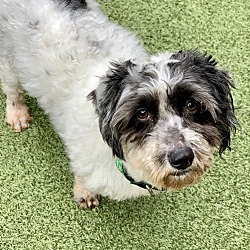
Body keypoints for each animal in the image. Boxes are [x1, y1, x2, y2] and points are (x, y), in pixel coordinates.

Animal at [0, 0, 238, 209]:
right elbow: (82, 175)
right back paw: (17, 114)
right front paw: (85, 192)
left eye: (191, 105)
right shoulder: (82, 157)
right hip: (8, 60)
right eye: (142, 113)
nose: (182, 158)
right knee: (11, 88)